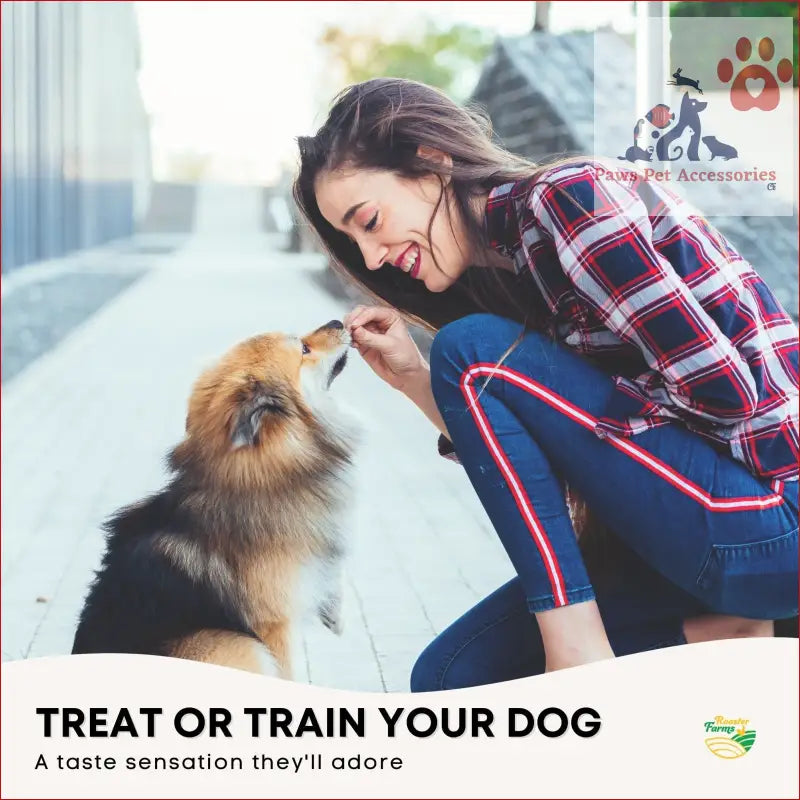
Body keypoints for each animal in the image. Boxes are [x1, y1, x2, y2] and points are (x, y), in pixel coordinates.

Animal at [72, 318, 360, 676]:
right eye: (304, 349)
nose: (338, 321)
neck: (260, 477)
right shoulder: (275, 624)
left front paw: (335, 611)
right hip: (233, 642)